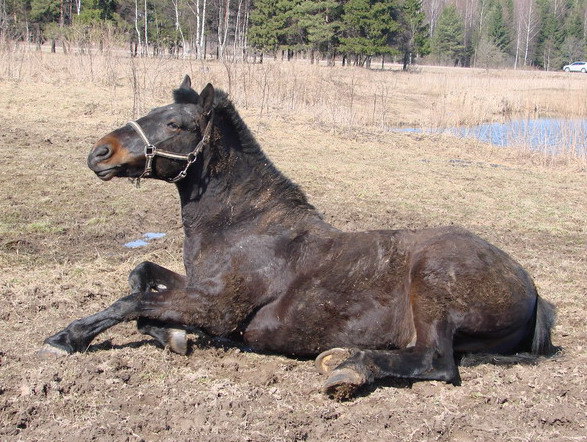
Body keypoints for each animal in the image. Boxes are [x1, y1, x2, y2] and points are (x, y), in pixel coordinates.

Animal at [40, 76, 556, 400]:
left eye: (176, 124)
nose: (99, 153)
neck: (245, 223)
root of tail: (533, 289)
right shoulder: (199, 290)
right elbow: (141, 277)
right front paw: (172, 334)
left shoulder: (218, 308)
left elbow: (133, 301)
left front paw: (68, 336)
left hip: (432, 284)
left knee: (436, 363)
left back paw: (347, 368)